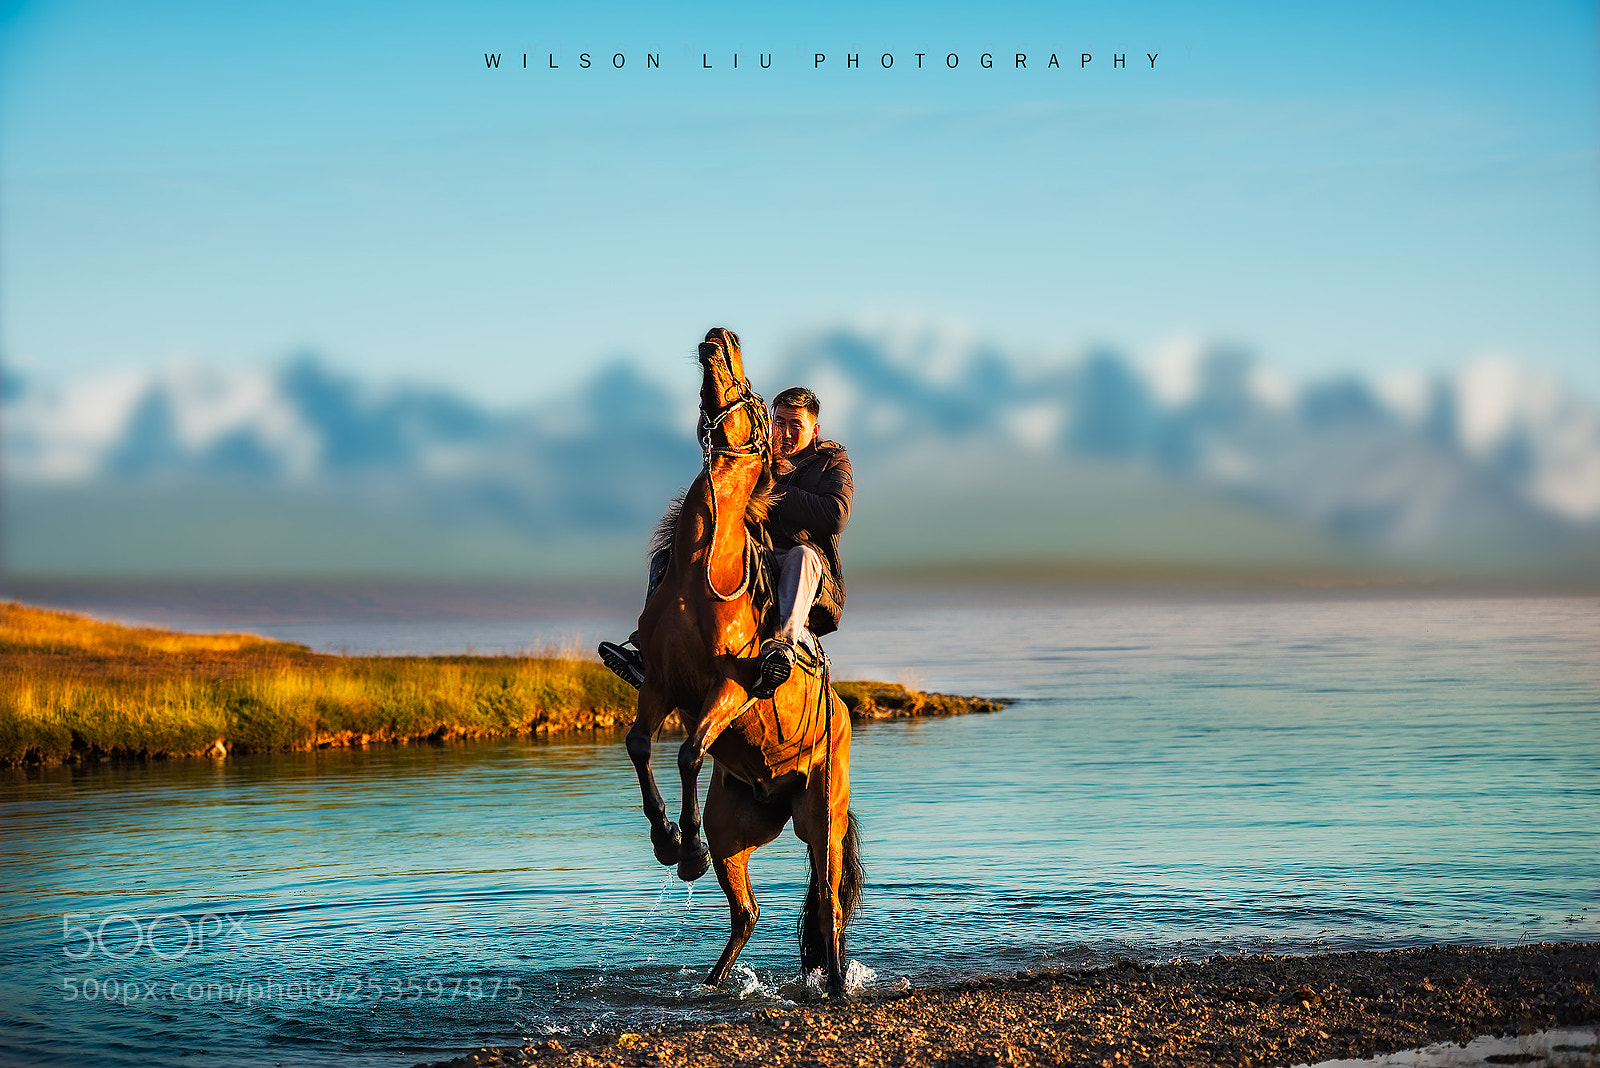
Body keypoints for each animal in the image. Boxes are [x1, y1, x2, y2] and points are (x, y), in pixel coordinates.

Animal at [624, 327, 863, 995]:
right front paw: (667, 841)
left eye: (751, 395)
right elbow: (640, 746)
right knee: (748, 913)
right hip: (736, 828)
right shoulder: (659, 687)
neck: (700, 575)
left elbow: (687, 751)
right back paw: (713, 982)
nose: (718, 336)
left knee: (828, 902)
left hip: (821, 817)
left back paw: (835, 985)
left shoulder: (727, 691)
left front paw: (683, 850)